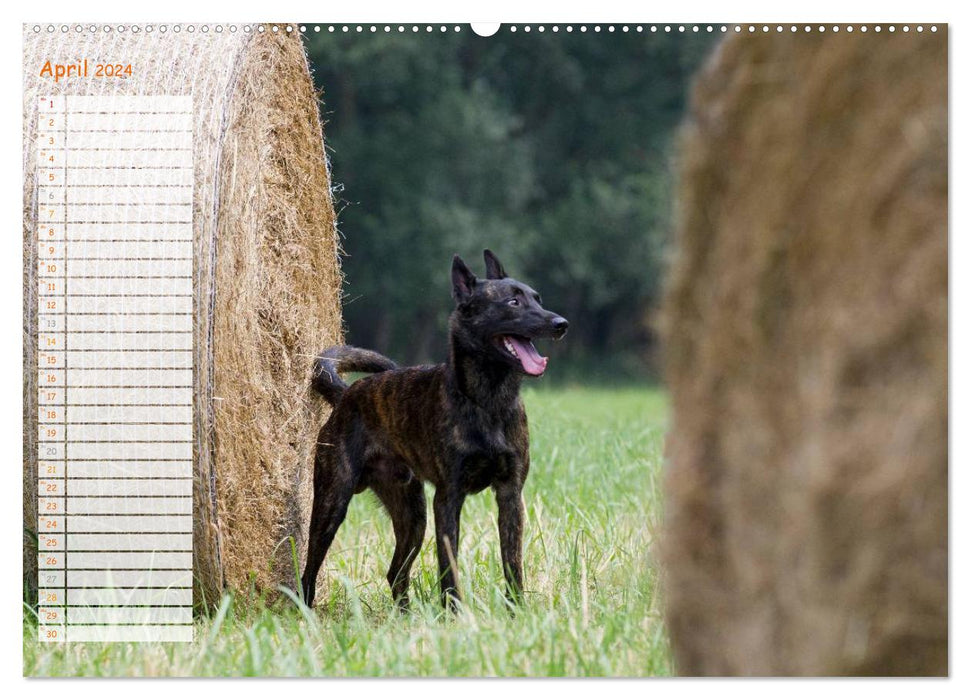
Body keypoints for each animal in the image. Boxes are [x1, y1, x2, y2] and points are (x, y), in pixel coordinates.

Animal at [300, 250, 564, 608]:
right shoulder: (448, 497)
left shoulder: (510, 495)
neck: (489, 400)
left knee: (395, 573)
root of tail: (346, 394)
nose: (561, 324)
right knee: (310, 567)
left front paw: (517, 611)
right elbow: (448, 564)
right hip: (332, 502)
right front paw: (454, 612)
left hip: (413, 517)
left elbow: (512, 562)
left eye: (537, 299)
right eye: (512, 302)